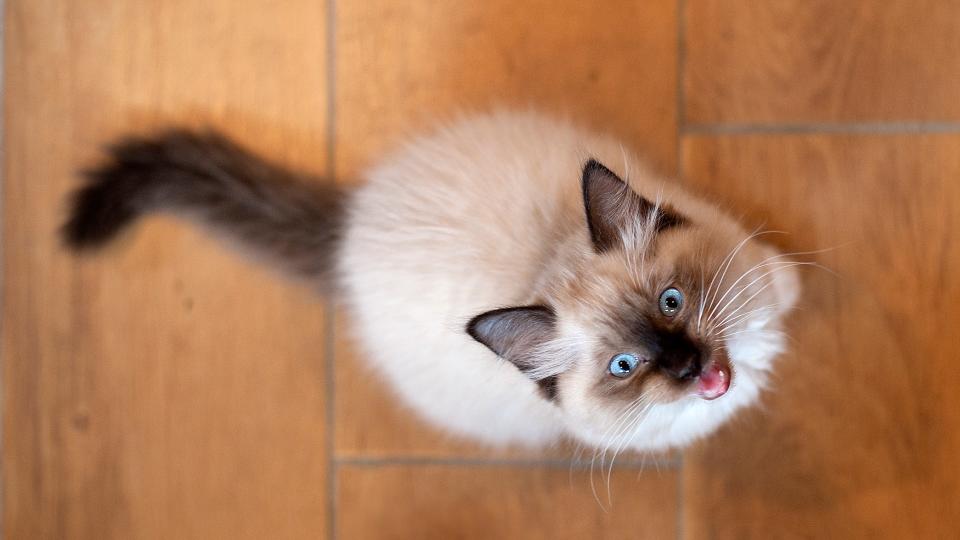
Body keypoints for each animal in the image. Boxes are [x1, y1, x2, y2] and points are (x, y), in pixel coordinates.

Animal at [63, 110, 804, 452]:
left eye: (673, 302)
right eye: (624, 366)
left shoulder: (741, 253)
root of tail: (348, 227)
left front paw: (795, 288)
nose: (689, 367)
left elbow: (776, 276)